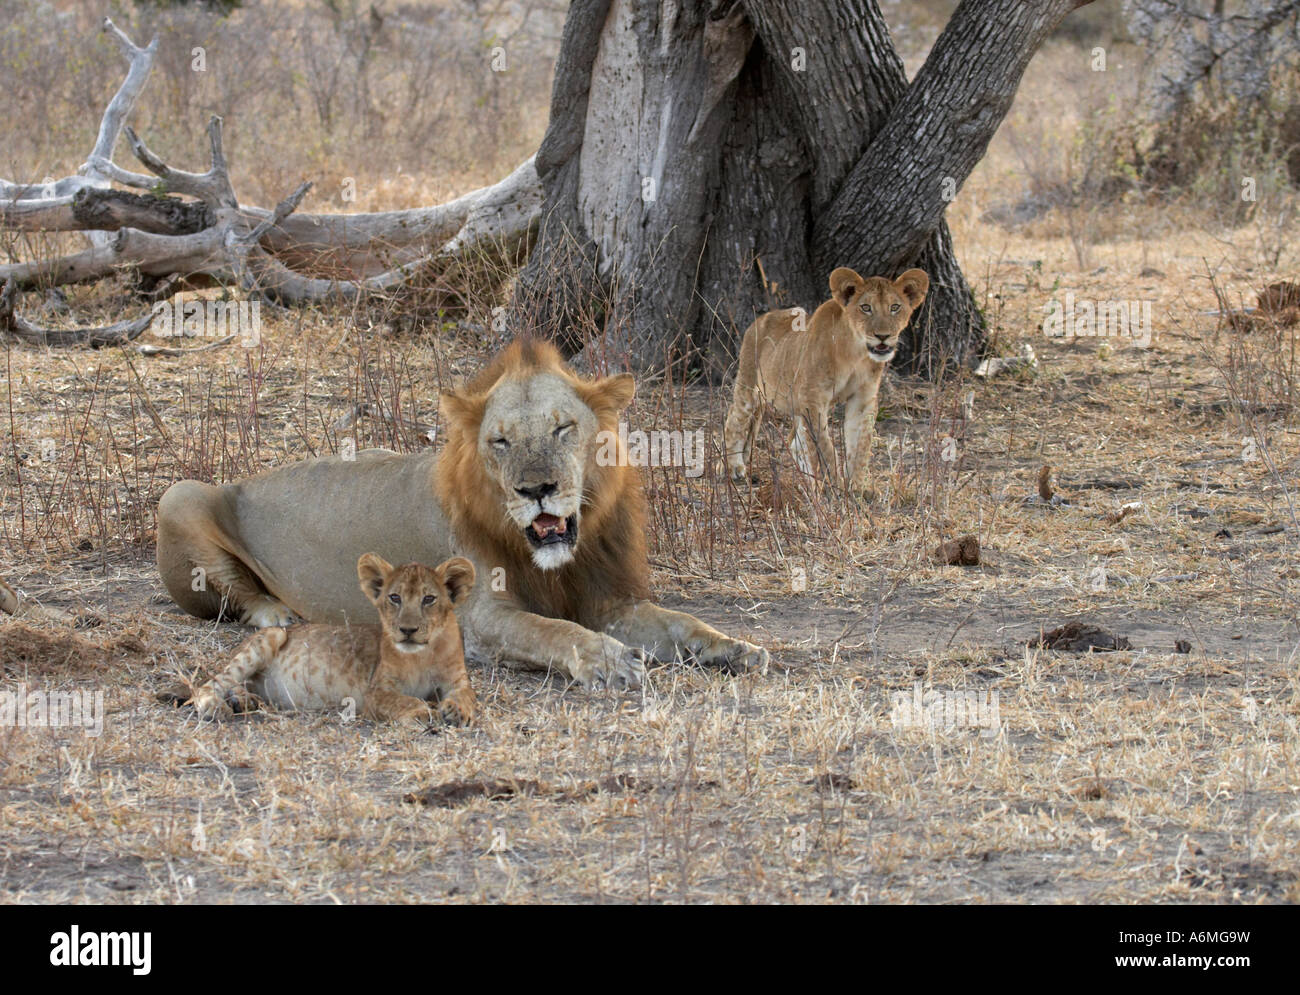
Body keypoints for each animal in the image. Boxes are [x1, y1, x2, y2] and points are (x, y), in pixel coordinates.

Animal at [156, 338, 768, 690]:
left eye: (563, 428)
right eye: (500, 440)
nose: (537, 488)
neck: (557, 560)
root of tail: (246, 478)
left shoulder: (609, 600)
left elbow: (679, 622)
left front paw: (737, 648)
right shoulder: (483, 619)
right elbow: (553, 630)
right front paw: (611, 661)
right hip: (178, 495)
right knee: (237, 599)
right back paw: (275, 613)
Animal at [188, 554, 477, 725]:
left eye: (429, 599)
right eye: (395, 598)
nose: (407, 630)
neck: (422, 655)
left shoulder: (456, 680)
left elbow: (467, 695)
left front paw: (456, 710)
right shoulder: (376, 692)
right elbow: (404, 700)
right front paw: (421, 712)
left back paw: (244, 700)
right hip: (273, 634)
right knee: (210, 684)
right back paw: (215, 707)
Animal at [722, 267, 929, 491]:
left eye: (895, 307)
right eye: (866, 308)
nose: (882, 336)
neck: (855, 353)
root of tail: (760, 319)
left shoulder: (862, 399)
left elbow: (861, 445)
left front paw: (856, 488)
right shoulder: (813, 400)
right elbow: (825, 446)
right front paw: (835, 483)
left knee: (795, 442)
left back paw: (806, 482)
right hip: (749, 385)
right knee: (734, 420)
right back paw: (734, 468)